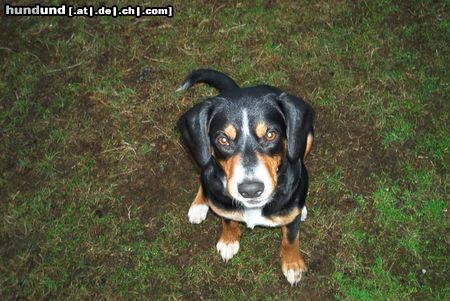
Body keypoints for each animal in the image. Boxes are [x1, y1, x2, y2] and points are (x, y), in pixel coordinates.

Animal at [176, 68, 312, 284]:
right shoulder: (223, 203)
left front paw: (292, 265)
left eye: (271, 135)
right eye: (222, 139)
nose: (250, 190)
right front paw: (229, 240)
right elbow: (227, 219)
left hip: (306, 139)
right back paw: (199, 205)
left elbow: (291, 239)